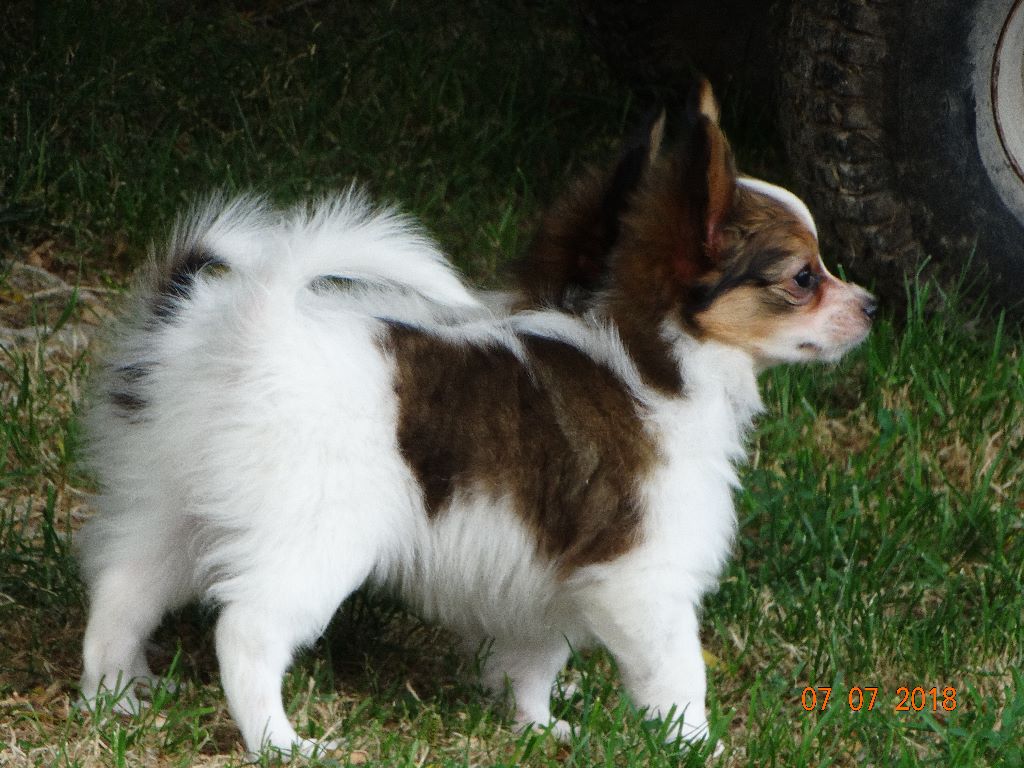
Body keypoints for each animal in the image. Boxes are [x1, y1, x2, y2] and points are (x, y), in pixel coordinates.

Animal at [77, 82, 876, 756]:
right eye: (804, 278)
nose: (871, 305)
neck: (656, 356)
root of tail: (255, 328)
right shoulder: (641, 574)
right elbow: (679, 675)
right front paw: (696, 745)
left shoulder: (552, 578)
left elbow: (533, 662)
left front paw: (540, 727)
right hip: (317, 535)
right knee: (246, 631)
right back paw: (280, 742)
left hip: (171, 499)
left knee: (122, 590)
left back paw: (111, 698)